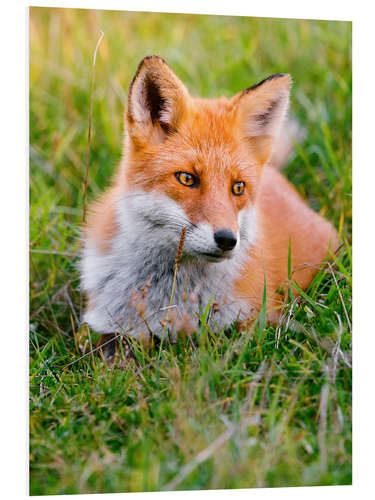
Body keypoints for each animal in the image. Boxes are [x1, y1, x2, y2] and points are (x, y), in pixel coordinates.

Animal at [81, 54, 340, 350]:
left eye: (238, 187)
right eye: (187, 178)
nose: (227, 240)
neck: (172, 295)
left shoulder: (253, 321)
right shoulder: (110, 325)